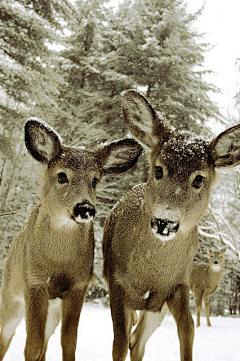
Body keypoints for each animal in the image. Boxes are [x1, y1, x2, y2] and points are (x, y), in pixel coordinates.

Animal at [0, 116, 142, 358]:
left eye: (95, 180)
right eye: (62, 175)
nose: (85, 208)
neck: (59, 262)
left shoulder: (78, 286)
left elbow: (68, 341)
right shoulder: (34, 281)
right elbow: (32, 345)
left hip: (52, 309)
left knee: (45, 342)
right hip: (11, 294)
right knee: (6, 337)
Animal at [102, 89, 240, 360]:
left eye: (199, 179)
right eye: (158, 169)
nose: (164, 222)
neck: (150, 276)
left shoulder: (177, 285)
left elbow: (188, 331)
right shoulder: (116, 283)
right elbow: (118, 343)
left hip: (158, 307)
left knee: (138, 342)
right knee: (131, 338)